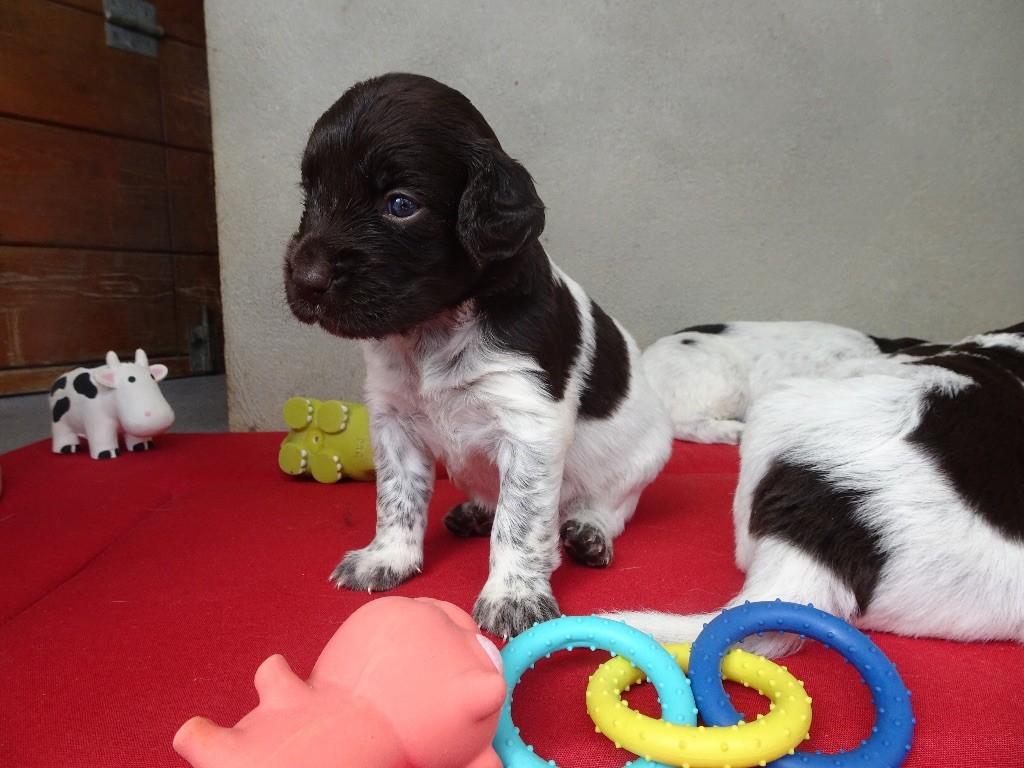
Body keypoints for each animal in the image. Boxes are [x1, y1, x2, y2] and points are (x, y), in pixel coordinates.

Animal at [283, 73, 672, 637]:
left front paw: (514, 594)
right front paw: (389, 556)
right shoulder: (393, 421)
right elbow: (396, 498)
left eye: (400, 204)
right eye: (311, 196)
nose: (305, 279)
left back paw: (587, 531)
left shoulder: (530, 425)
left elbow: (521, 522)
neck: (433, 331)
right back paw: (474, 511)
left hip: (643, 459)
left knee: (609, 506)